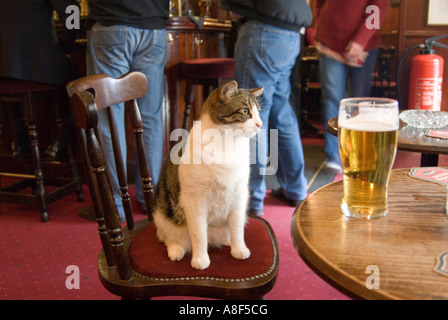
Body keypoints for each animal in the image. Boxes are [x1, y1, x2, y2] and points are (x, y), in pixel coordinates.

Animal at [153, 80, 262, 270]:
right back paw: (176, 249)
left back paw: (227, 240)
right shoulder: (195, 202)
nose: (260, 124)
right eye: (245, 111)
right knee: (168, 236)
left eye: (258, 112)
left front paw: (239, 249)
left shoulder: (239, 196)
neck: (227, 145)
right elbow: (199, 235)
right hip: (161, 214)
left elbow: (237, 228)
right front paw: (200, 259)